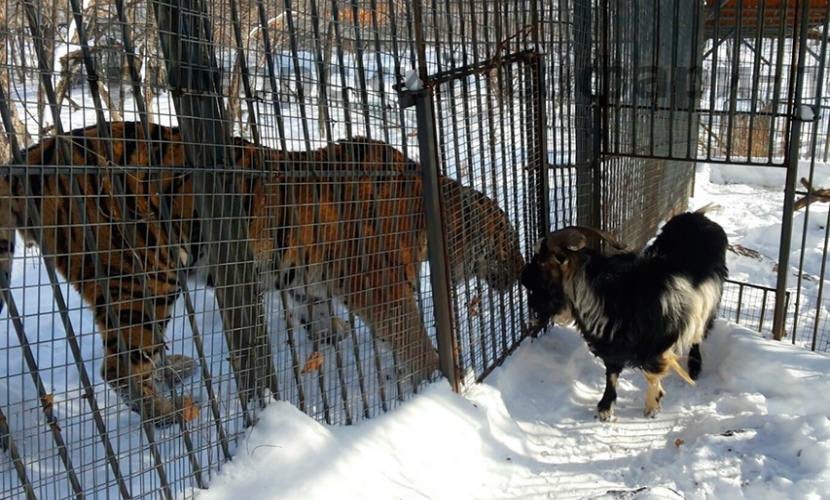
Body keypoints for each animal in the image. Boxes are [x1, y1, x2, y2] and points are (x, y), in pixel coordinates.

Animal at [0, 123, 528, 428]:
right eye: (507, 238)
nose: (524, 271)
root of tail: (32, 156)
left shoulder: (308, 274)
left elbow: (316, 306)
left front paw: (331, 333)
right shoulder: (379, 285)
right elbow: (413, 336)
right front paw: (451, 383)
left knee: (137, 354)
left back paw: (176, 370)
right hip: (144, 273)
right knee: (120, 366)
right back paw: (170, 414)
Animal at [528, 205, 728, 420]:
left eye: (540, 261)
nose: (523, 276)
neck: (609, 292)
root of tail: (698, 216)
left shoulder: (656, 341)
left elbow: (652, 370)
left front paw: (652, 404)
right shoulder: (612, 343)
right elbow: (612, 374)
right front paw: (605, 407)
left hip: (709, 302)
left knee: (699, 334)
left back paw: (694, 367)